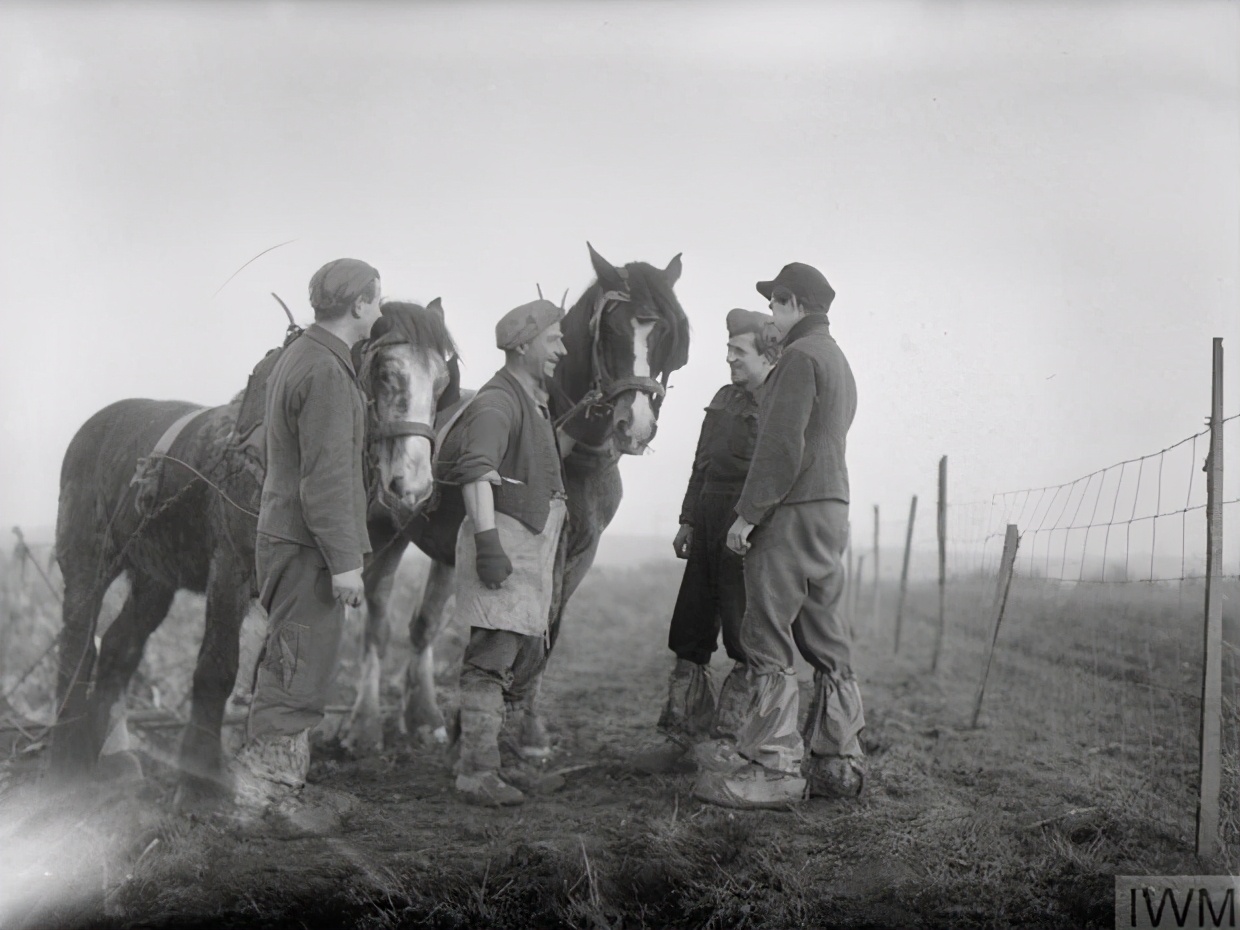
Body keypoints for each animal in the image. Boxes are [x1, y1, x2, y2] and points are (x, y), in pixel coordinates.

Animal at [47, 302, 461, 798]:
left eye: (440, 381)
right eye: (385, 371)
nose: (412, 485)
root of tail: (93, 427)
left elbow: (281, 669)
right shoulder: (229, 571)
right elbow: (217, 668)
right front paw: (201, 780)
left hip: (154, 581)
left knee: (117, 648)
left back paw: (112, 759)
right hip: (88, 564)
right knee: (78, 646)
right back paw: (67, 758)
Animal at [349, 245, 694, 758]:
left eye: (666, 334)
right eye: (613, 330)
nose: (634, 425)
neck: (572, 451)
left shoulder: (581, 553)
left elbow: (550, 627)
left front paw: (528, 729)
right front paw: (475, 726)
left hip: (444, 553)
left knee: (423, 625)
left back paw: (424, 717)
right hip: (384, 530)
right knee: (376, 621)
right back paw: (365, 726)